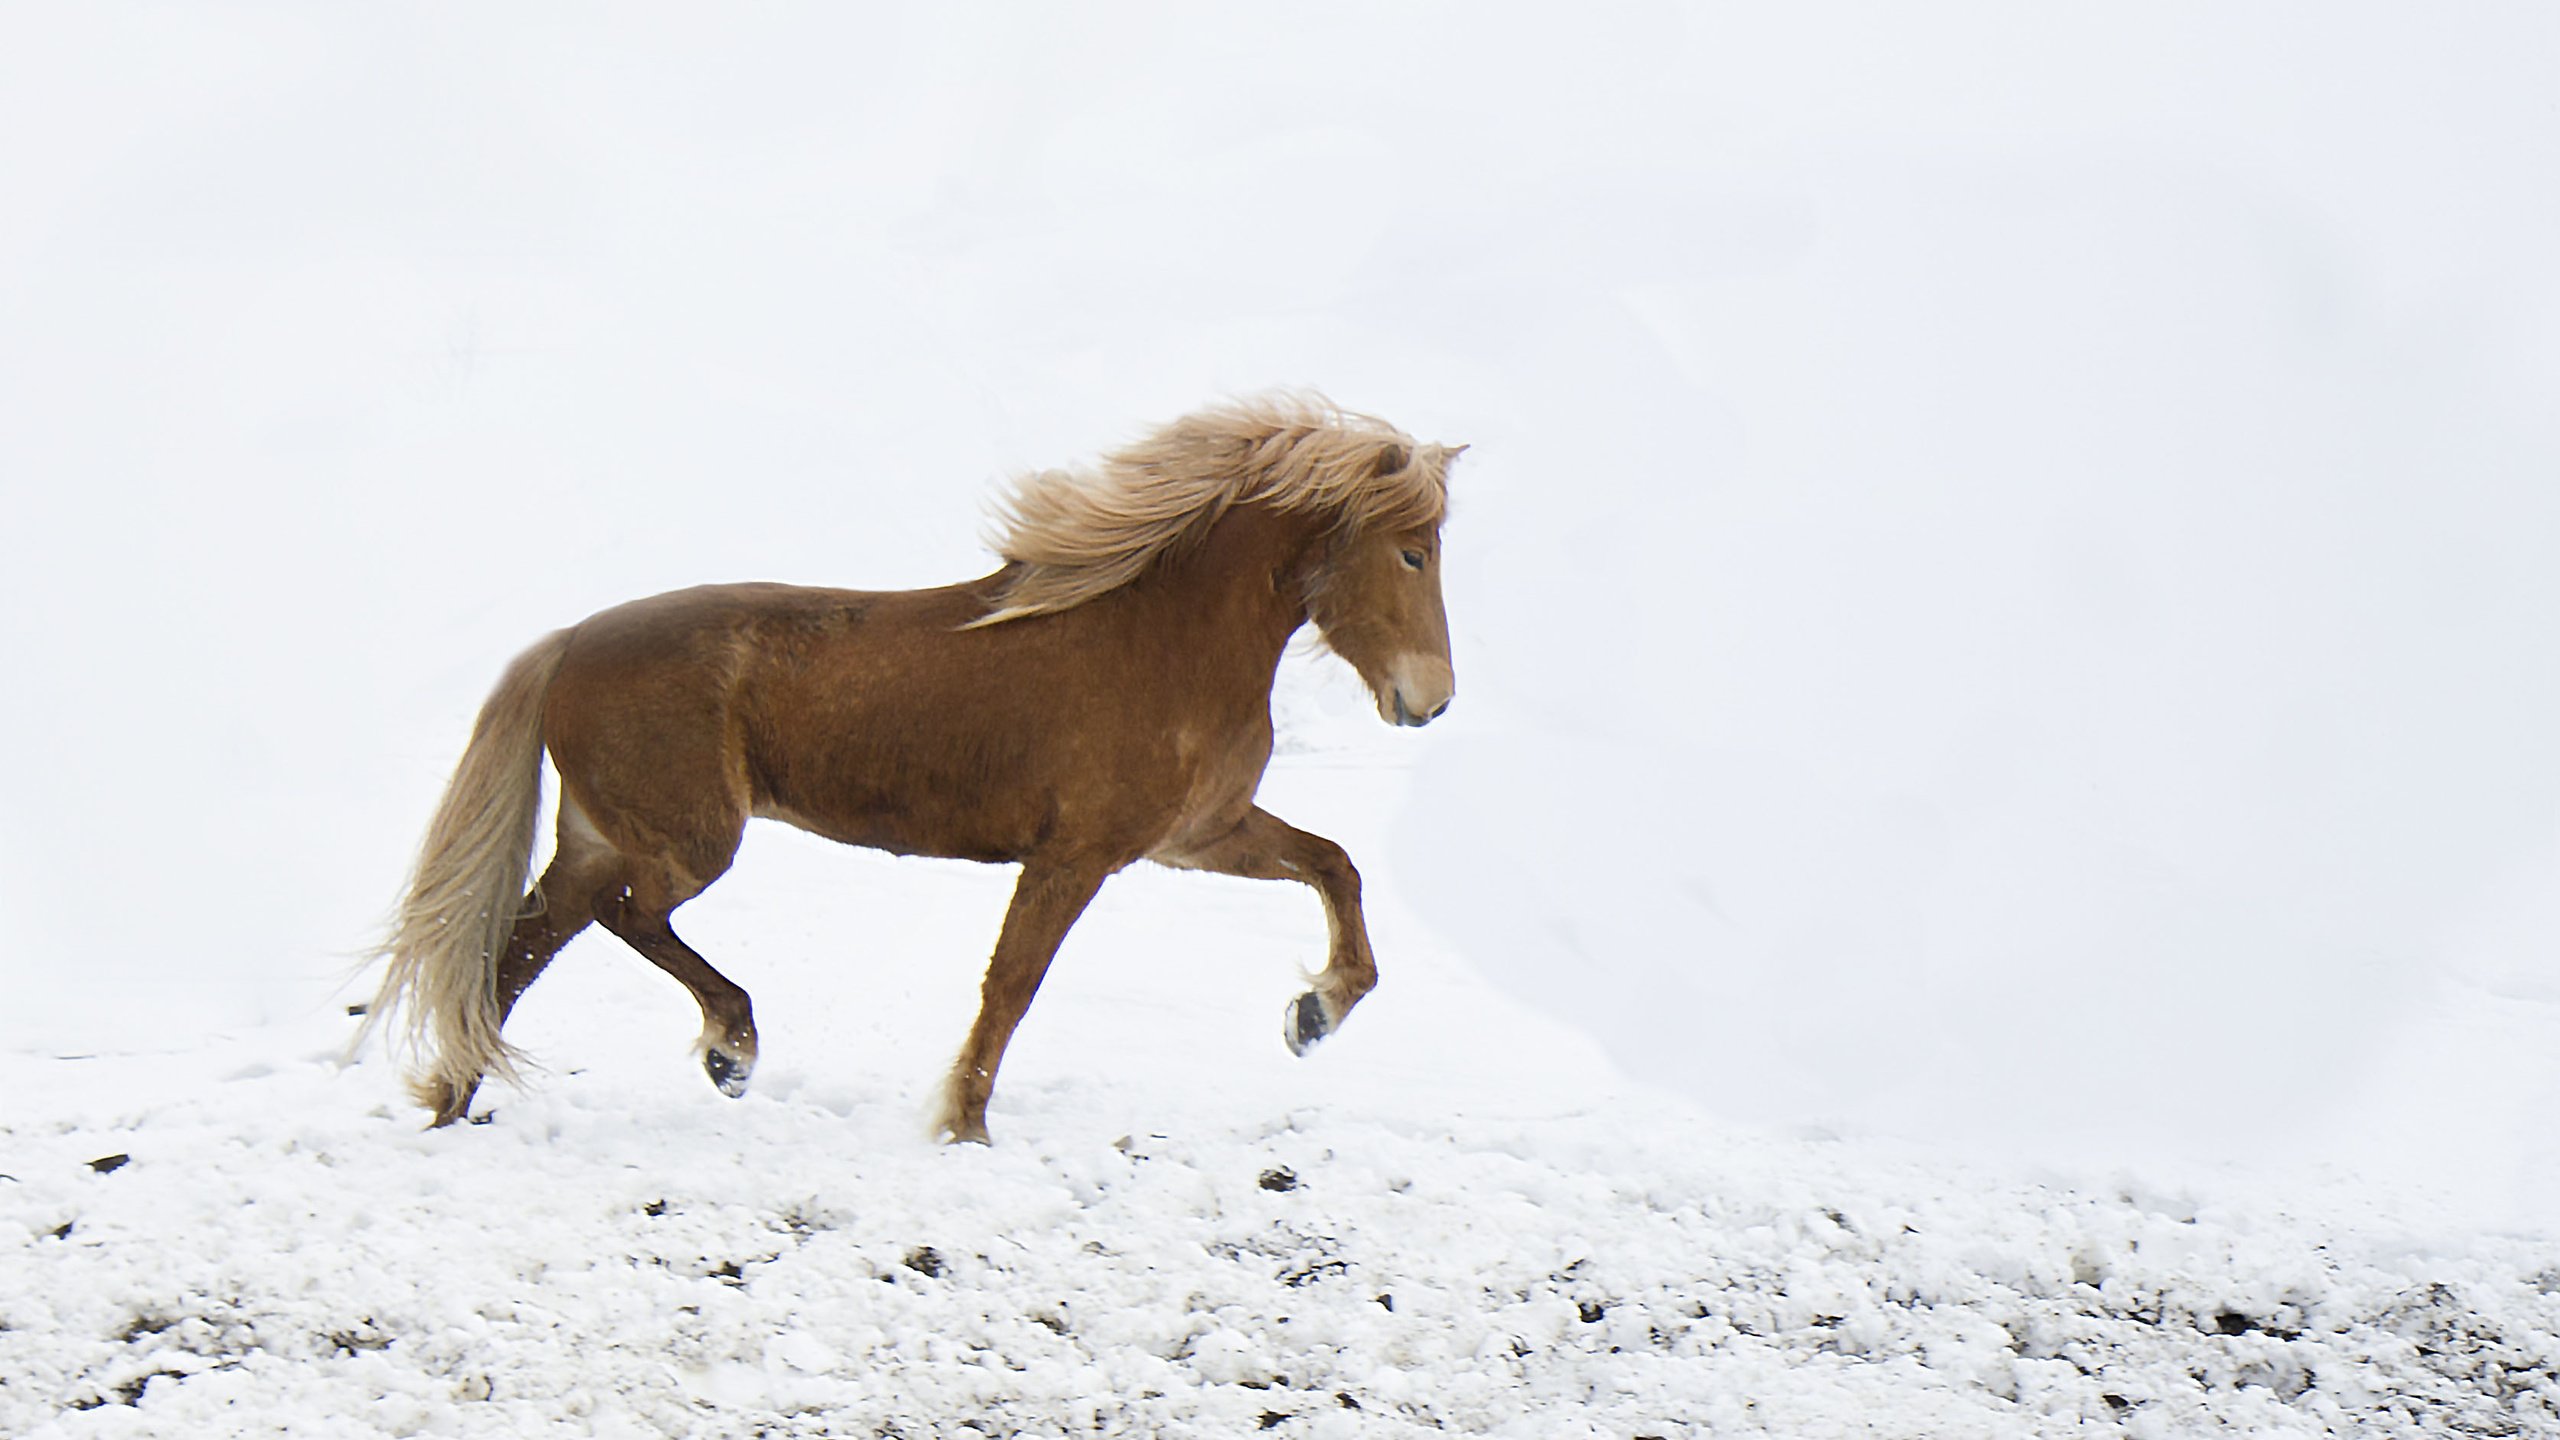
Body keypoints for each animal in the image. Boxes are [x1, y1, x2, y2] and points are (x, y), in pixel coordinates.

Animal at [360, 392, 1464, 1132]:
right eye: (1412, 552)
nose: (1431, 700)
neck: (1161, 639)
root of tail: (568, 643)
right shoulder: (1077, 857)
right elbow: (1012, 984)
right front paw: (962, 1124)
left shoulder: (1197, 836)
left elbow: (1333, 864)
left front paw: (1314, 1014)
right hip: (684, 841)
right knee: (613, 918)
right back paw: (730, 1046)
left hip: (605, 833)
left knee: (524, 941)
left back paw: (455, 1097)